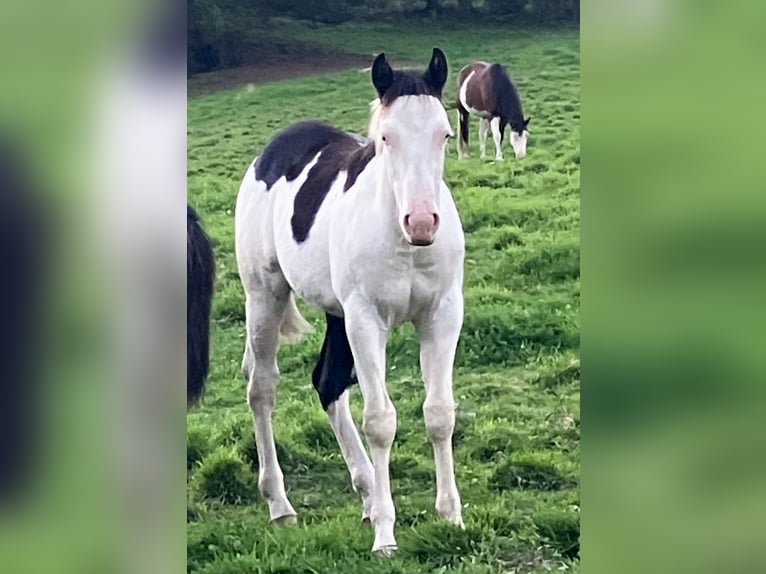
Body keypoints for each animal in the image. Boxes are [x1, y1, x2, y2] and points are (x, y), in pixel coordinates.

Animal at [234, 48, 465, 556]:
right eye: (385, 137)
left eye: (444, 133)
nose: (422, 222)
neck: (404, 244)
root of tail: (270, 153)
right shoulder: (366, 321)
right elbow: (380, 420)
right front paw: (385, 534)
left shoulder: (441, 315)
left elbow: (439, 413)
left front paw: (451, 516)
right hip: (266, 295)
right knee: (262, 389)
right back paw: (280, 504)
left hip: (336, 315)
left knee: (327, 382)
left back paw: (365, 490)